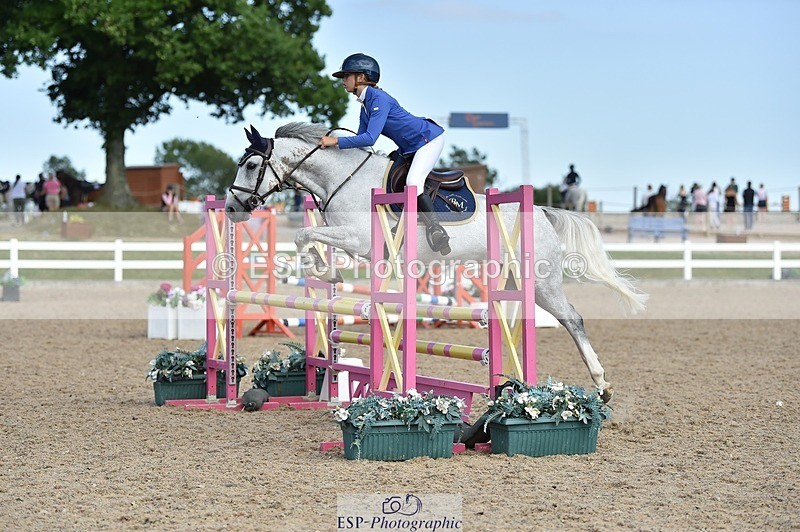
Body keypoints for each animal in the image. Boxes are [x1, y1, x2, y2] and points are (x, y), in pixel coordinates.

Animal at [225, 123, 648, 402]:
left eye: (251, 166)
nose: (231, 208)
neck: (341, 179)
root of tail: (543, 212)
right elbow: (306, 237)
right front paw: (323, 270)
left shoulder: (359, 239)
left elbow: (303, 235)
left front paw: (326, 270)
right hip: (512, 280)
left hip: (541, 282)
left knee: (573, 320)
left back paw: (601, 385)